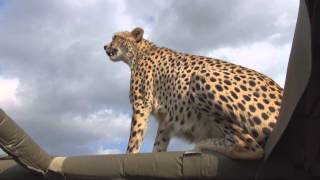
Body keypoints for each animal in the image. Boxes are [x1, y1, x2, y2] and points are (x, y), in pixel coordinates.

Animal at [103, 26, 282, 159]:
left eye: (115, 37)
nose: (105, 46)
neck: (139, 52)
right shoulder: (166, 120)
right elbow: (159, 144)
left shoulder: (142, 104)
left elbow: (134, 139)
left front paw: (128, 156)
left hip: (200, 78)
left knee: (253, 147)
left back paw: (204, 144)